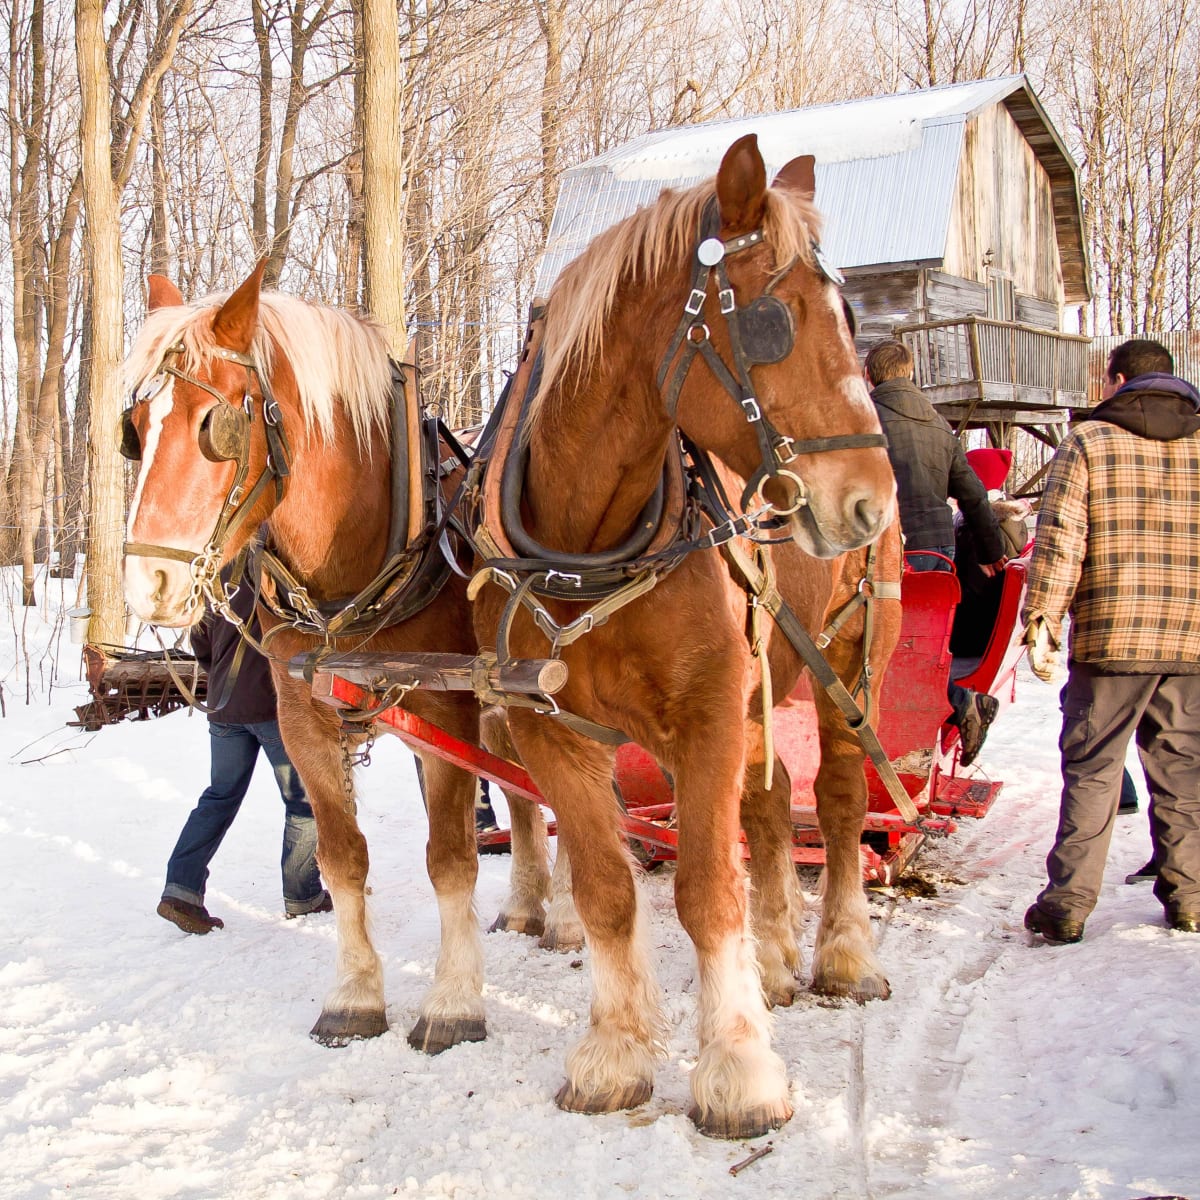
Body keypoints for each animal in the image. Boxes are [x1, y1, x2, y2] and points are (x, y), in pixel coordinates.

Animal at [121, 268, 492, 1055]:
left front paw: (453, 1002)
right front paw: (353, 997)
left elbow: (451, 860)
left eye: (214, 426)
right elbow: (342, 856)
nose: (148, 584)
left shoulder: (449, 710)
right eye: (133, 431)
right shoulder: (303, 719)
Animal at [469, 134, 902, 1139]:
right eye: (774, 319)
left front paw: (738, 1067)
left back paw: (842, 955)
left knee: (837, 805)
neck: (587, 538)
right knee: (769, 809)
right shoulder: (553, 732)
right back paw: (777, 957)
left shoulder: (705, 715)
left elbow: (707, 890)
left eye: (852, 315)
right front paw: (615, 1052)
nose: (871, 499)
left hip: (848, 662)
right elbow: (607, 889)